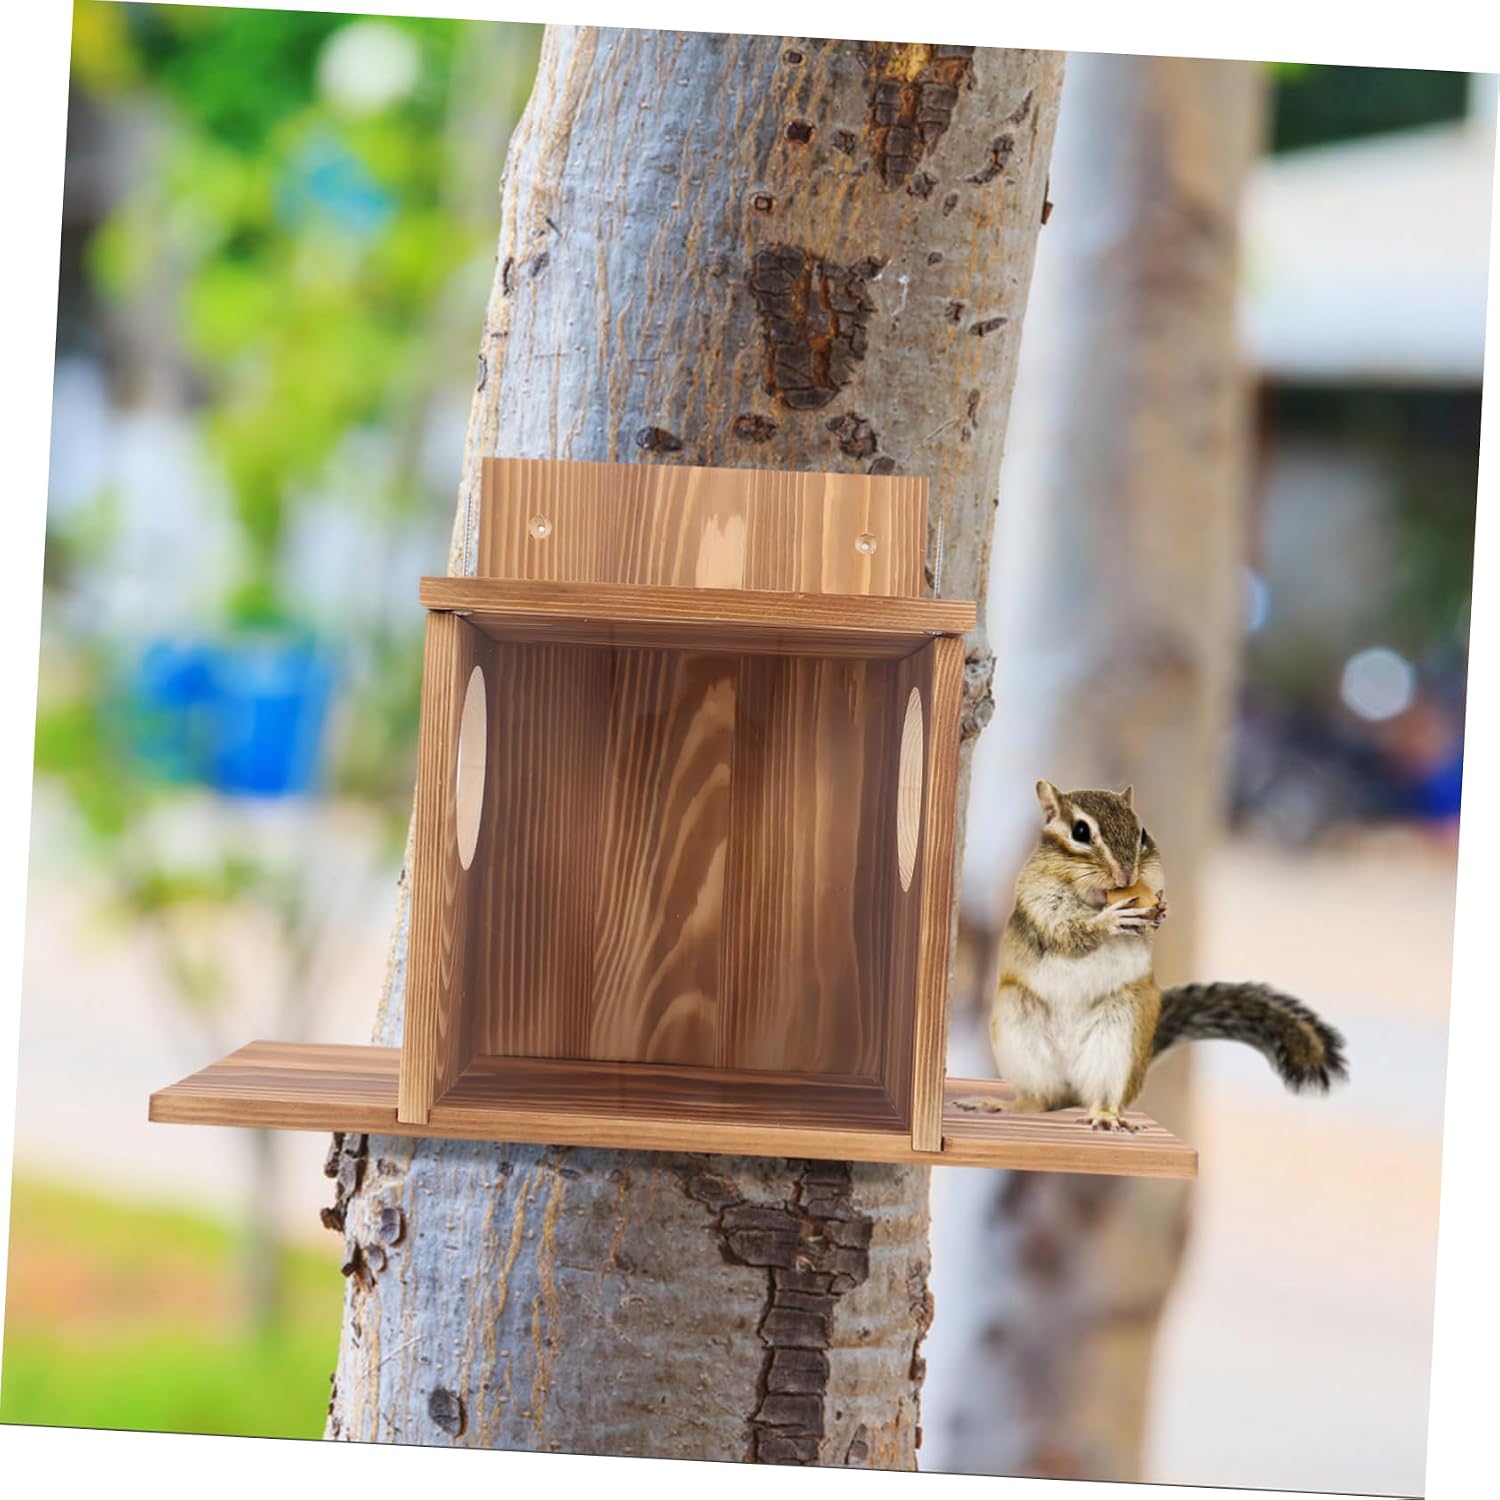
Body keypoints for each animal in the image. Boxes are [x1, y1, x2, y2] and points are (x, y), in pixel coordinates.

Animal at [960, 779, 1348, 1132]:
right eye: (1080, 831)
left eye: (1142, 832)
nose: (1126, 874)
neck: (1094, 898)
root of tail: (1073, 1088)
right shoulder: (1038, 899)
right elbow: (1067, 931)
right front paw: (1112, 920)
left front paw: (1159, 910)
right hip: (1019, 1029)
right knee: (1040, 1100)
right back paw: (1002, 1105)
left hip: (1121, 1037)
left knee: (1101, 1095)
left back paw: (1105, 1116)